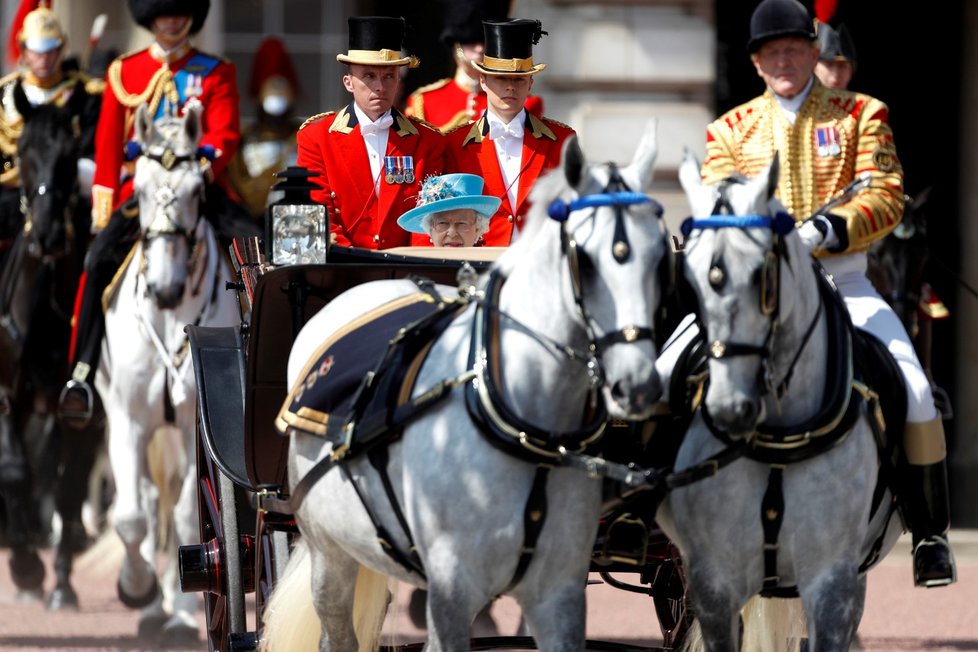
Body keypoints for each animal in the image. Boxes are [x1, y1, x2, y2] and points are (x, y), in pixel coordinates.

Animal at [95, 103, 240, 640]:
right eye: (137, 189)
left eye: (198, 191)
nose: (164, 289)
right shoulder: (127, 420)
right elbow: (130, 517)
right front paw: (135, 588)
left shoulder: (200, 424)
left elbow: (186, 513)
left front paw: (182, 606)